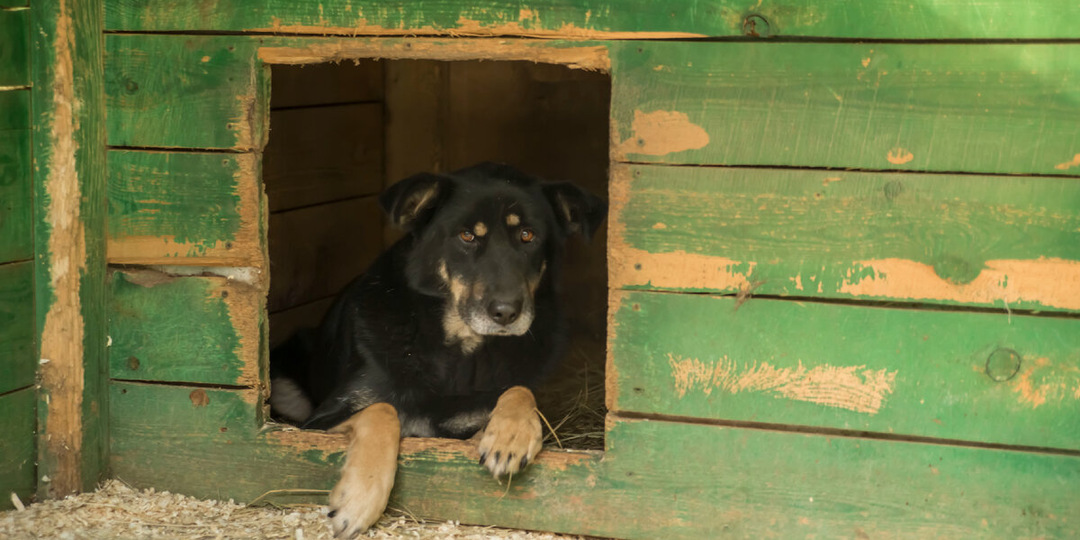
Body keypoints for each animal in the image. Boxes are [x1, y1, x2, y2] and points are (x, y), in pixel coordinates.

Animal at [267, 162, 609, 537]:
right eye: (467, 236)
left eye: (527, 235)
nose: (506, 313)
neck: (455, 352)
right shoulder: (316, 424)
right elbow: (382, 410)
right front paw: (358, 501)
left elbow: (519, 390)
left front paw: (511, 434)